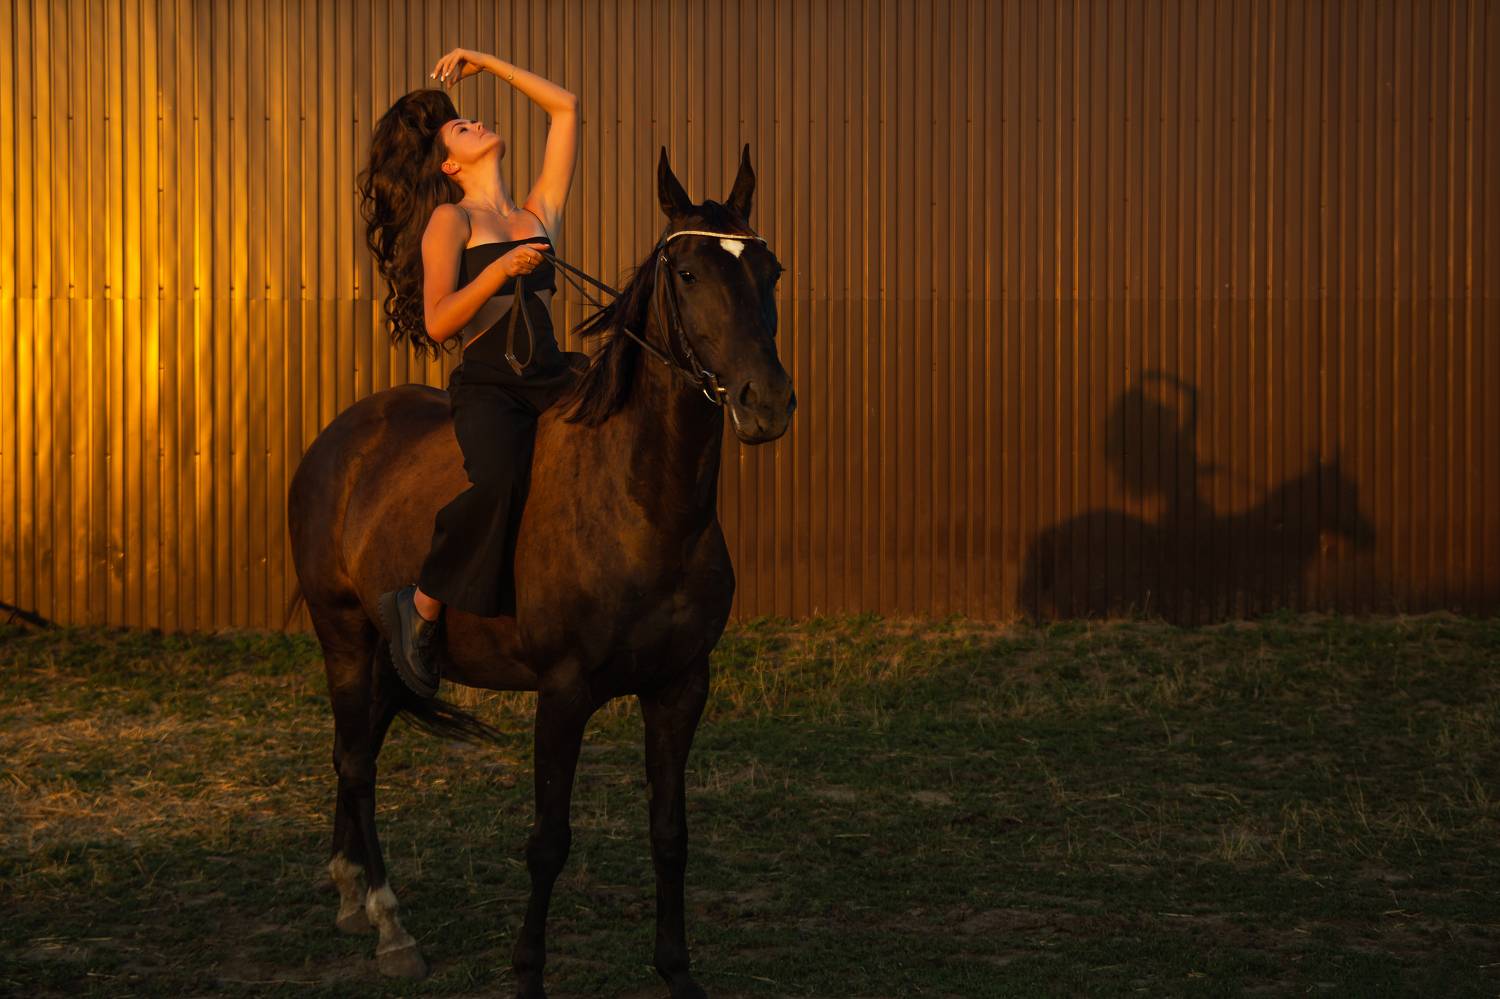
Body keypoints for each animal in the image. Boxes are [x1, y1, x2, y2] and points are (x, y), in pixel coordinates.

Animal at [287, 145, 794, 999]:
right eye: (690, 273)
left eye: (771, 269)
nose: (768, 403)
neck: (638, 503)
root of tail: (337, 440)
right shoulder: (563, 691)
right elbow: (548, 840)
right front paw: (526, 974)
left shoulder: (681, 685)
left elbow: (671, 831)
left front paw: (676, 971)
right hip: (344, 635)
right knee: (356, 760)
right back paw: (390, 923)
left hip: (385, 656)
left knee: (354, 751)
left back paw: (352, 891)